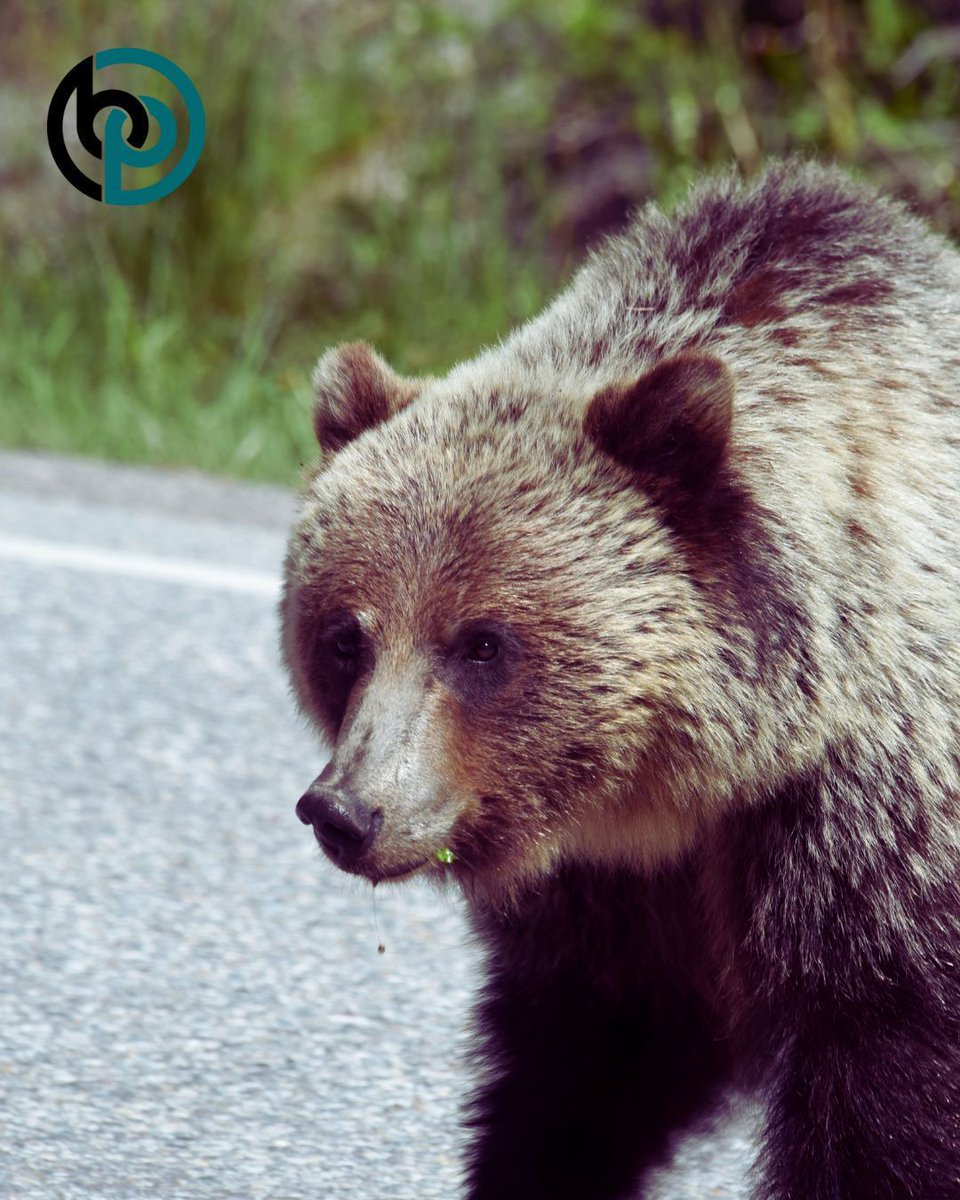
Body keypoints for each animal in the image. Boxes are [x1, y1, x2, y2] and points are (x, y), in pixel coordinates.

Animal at [280, 159, 960, 1200]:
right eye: (344, 637)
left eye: (482, 643)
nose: (348, 810)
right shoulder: (615, 898)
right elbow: (582, 1070)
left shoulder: (870, 847)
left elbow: (880, 1102)